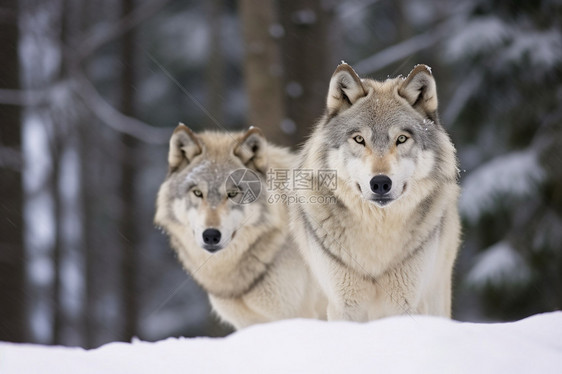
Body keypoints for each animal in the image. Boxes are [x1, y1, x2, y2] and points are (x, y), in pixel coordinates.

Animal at [288, 62, 460, 320]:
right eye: (359, 139)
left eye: (401, 139)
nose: (380, 183)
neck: (377, 231)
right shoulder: (343, 306)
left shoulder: (406, 304)